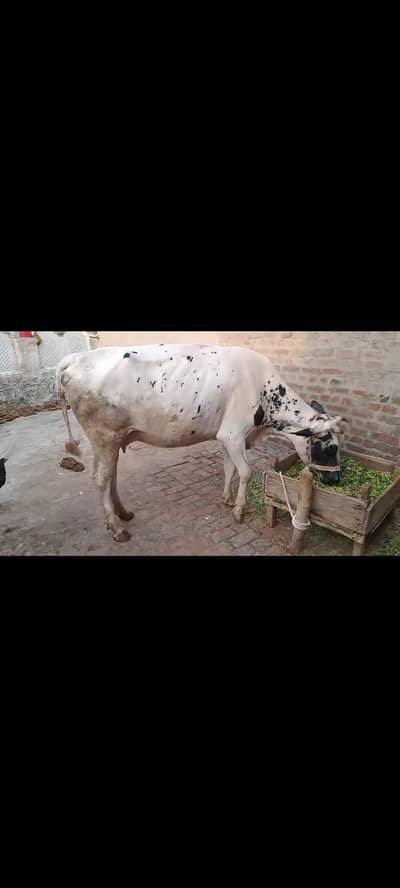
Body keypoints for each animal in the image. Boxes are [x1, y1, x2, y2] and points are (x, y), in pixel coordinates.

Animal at [57, 344, 346, 542]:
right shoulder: (233, 434)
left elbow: (229, 469)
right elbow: (245, 472)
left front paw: (227, 499)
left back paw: (123, 513)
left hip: (111, 440)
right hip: (103, 436)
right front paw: (239, 510)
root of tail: (74, 358)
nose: (336, 480)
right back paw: (116, 528)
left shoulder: (226, 436)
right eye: (331, 447)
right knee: (101, 478)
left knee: (111, 475)